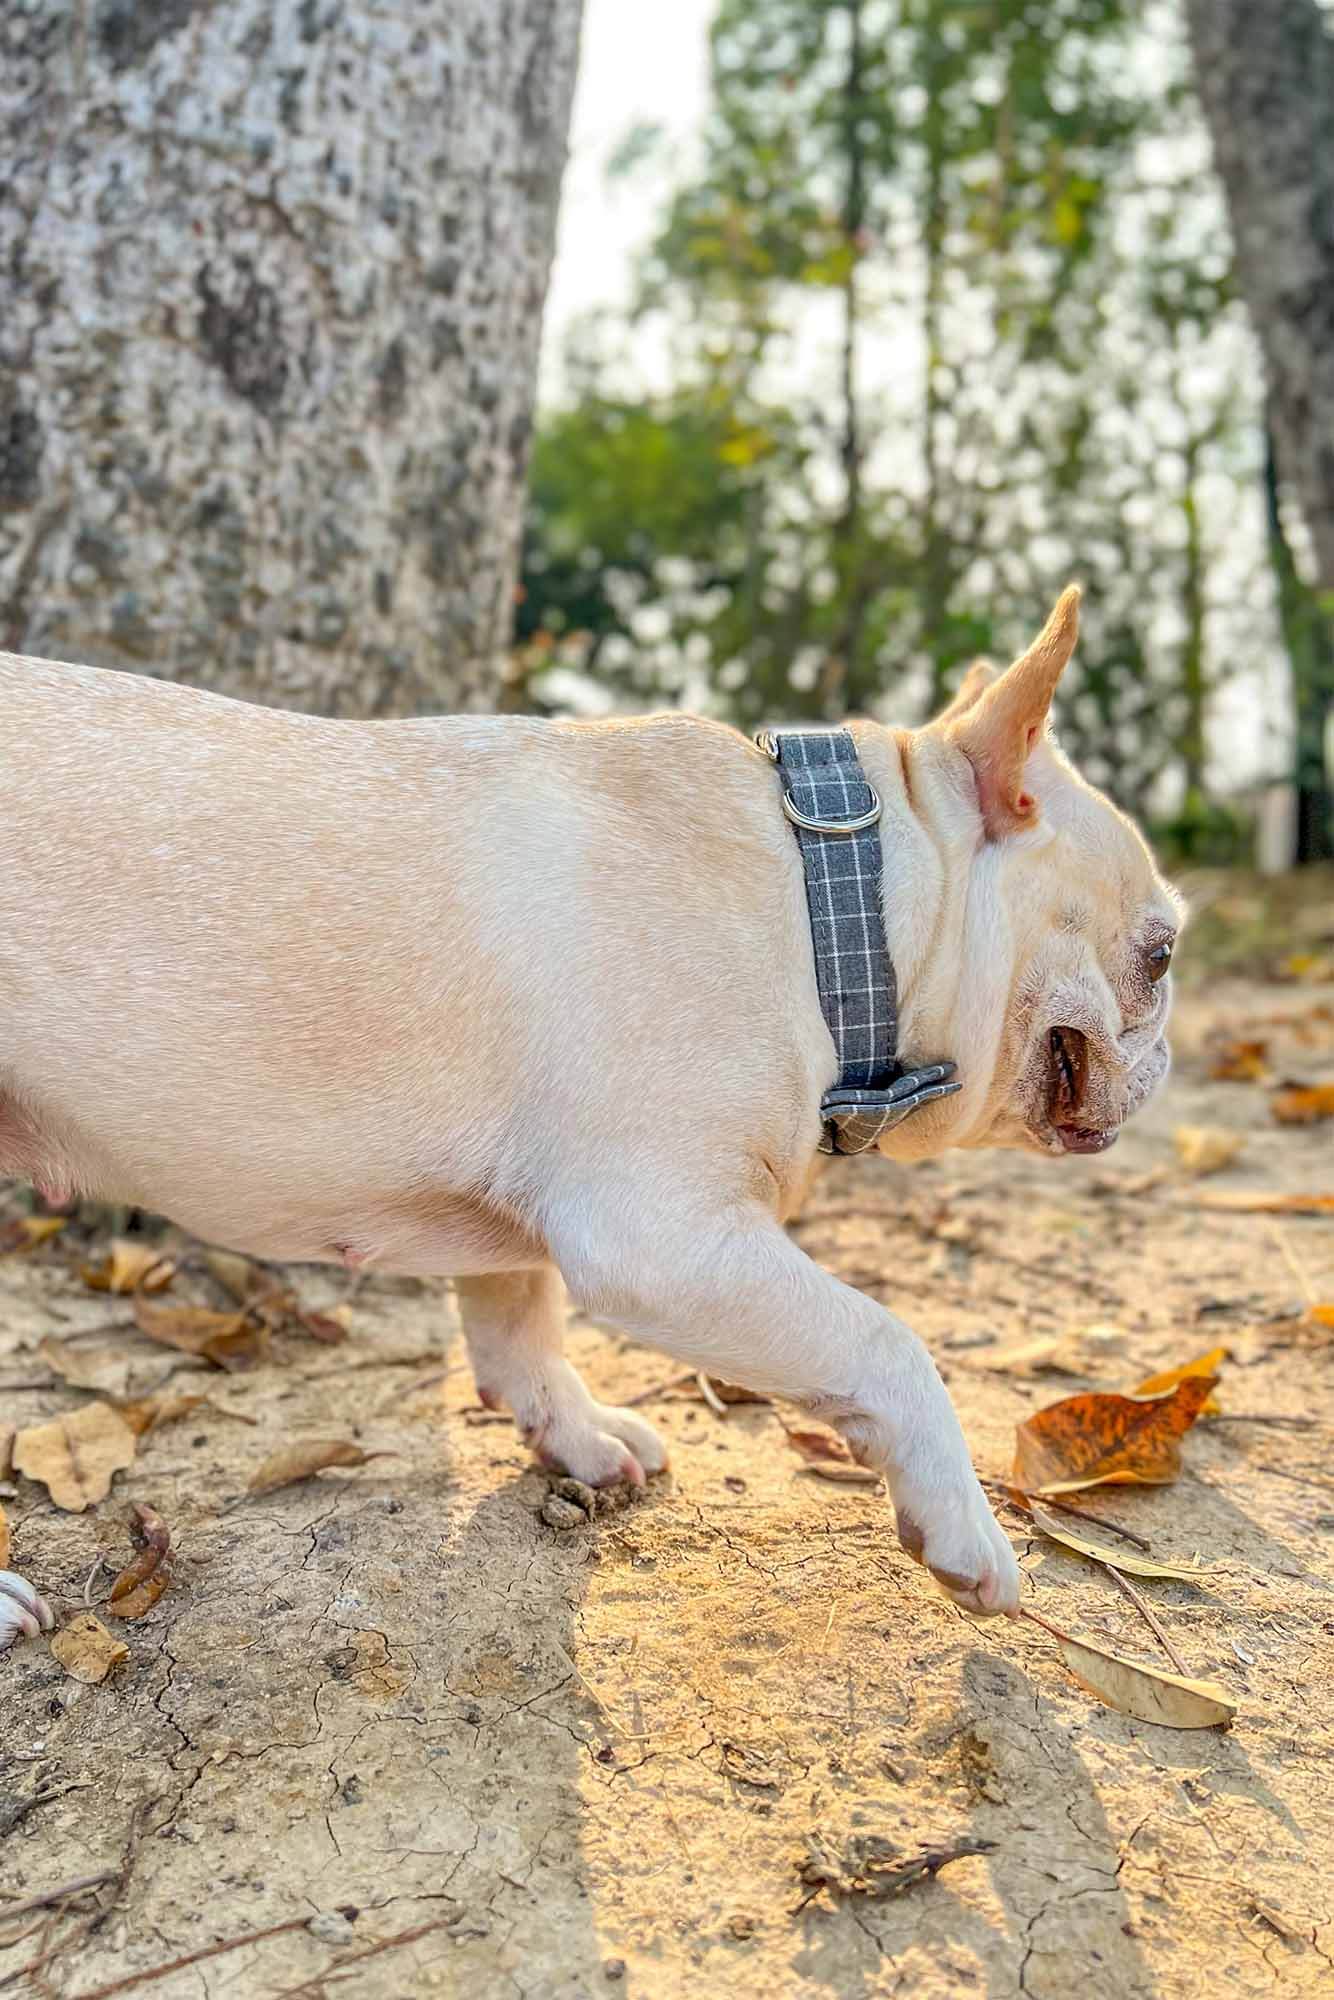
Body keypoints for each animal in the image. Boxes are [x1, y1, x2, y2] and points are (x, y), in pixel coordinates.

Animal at [0, 580, 1176, 1640]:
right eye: (1159, 956)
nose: (1164, 1056)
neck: (831, 900)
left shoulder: (523, 1211)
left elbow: (518, 1319)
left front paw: (571, 1433)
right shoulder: (665, 1237)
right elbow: (887, 1343)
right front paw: (964, 1529)